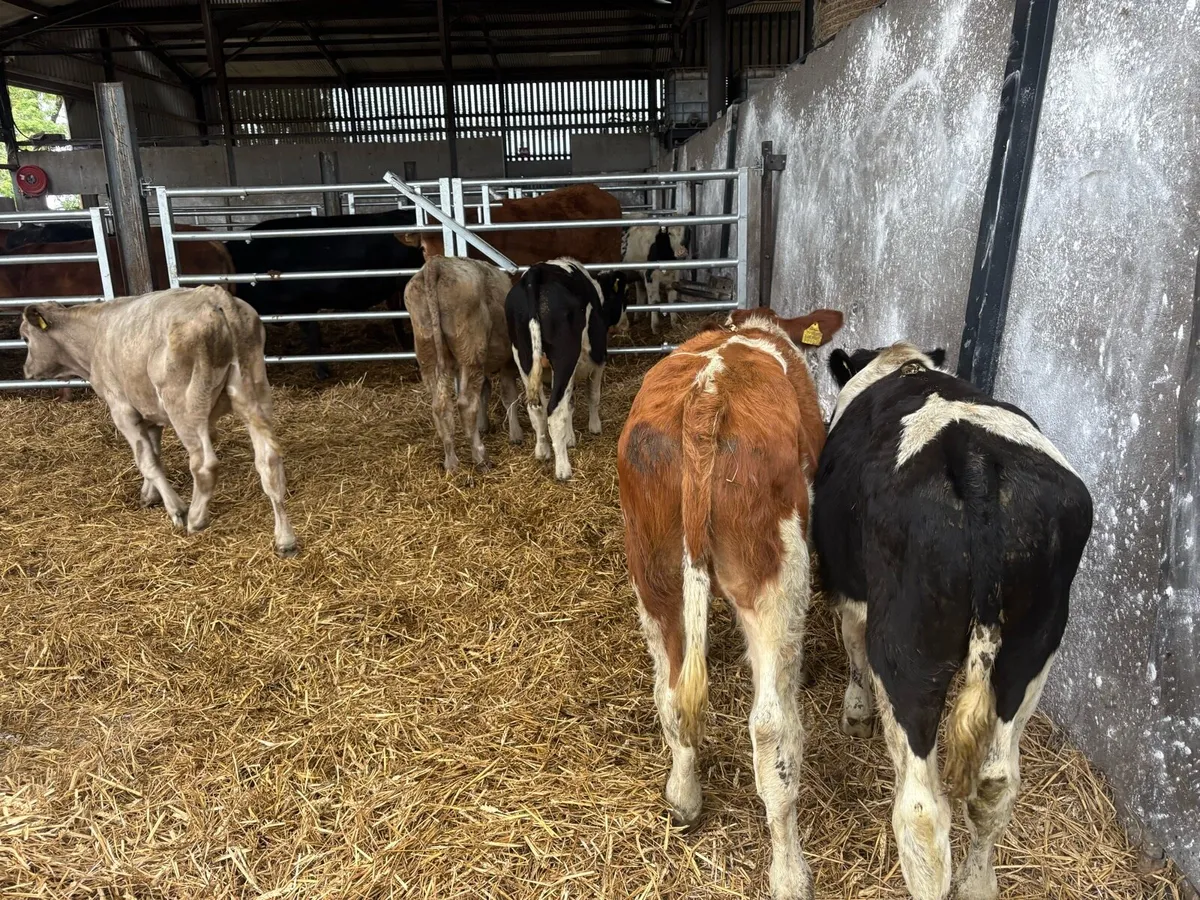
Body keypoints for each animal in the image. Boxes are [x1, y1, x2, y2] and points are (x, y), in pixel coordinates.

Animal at [18, 287, 299, 557]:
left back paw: (195, 518)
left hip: (184, 407)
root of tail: (214, 295)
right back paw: (285, 539)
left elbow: (146, 461)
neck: (95, 334)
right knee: (269, 461)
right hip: (254, 394)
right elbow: (154, 453)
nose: (26, 370)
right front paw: (148, 495)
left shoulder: (122, 409)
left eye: (25, 338)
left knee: (204, 465)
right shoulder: (150, 413)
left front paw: (176, 509)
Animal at [403, 256, 522, 472]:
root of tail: (436, 264)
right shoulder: (508, 361)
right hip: (471, 352)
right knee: (465, 404)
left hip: (428, 355)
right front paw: (516, 435)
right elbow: (509, 396)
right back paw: (480, 456)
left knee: (440, 406)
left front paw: (483, 426)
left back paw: (451, 462)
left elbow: (485, 392)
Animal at [505, 258, 633, 482]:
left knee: (537, 409)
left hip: (524, 359)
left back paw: (542, 451)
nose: (627, 324)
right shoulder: (598, 358)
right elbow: (593, 396)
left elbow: (570, 402)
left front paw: (570, 438)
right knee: (554, 412)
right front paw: (594, 427)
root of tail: (535, 273)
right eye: (625, 294)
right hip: (565, 358)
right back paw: (563, 469)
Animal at [812, 342, 1093, 900]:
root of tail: (974, 462)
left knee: (920, 811)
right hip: (1034, 646)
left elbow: (852, 644)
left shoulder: (849, 587)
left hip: (906, 655)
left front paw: (856, 712)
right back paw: (978, 882)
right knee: (995, 784)